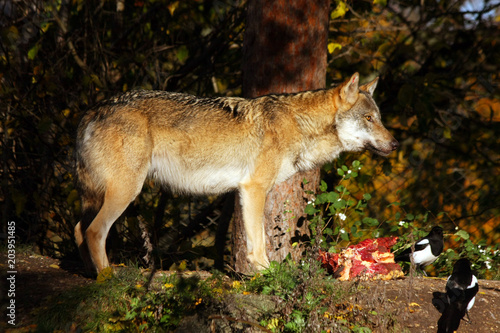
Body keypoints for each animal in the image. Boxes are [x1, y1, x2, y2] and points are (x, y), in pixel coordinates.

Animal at [75, 72, 398, 272]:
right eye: (369, 118)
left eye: (379, 118)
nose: (395, 144)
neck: (299, 125)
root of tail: (92, 112)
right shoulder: (255, 188)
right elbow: (260, 243)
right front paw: (268, 275)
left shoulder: (243, 191)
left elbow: (254, 241)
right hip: (127, 191)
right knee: (93, 231)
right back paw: (106, 278)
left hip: (102, 194)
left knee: (79, 230)